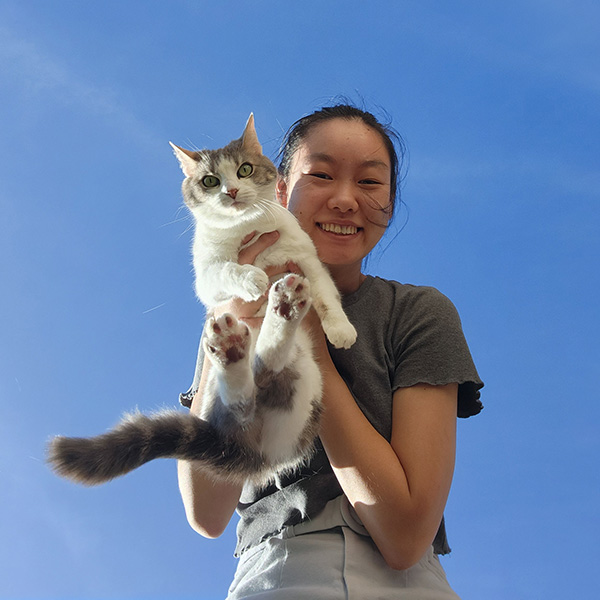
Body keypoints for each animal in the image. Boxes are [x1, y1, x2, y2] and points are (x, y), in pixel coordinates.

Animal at [49, 116, 356, 488]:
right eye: (210, 180)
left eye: (244, 169)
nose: (231, 191)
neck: (249, 230)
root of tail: (253, 451)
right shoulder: (207, 277)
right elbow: (227, 269)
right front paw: (251, 277)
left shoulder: (308, 260)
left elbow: (326, 295)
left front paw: (340, 328)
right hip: (222, 391)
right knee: (245, 395)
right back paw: (239, 340)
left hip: (304, 386)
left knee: (266, 370)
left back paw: (278, 310)